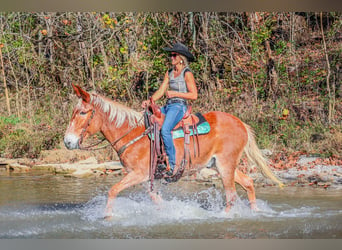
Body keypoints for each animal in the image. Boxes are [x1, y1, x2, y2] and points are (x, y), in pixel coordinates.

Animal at [64, 84, 284, 219]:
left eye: (82, 112)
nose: (67, 141)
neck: (133, 134)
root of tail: (241, 124)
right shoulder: (146, 177)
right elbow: (155, 198)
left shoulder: (139, 174)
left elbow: (113, 190)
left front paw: (108, 216)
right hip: (221, 166)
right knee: (248, 183)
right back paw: (255, 212)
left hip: (225, 165)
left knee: (231, 195)